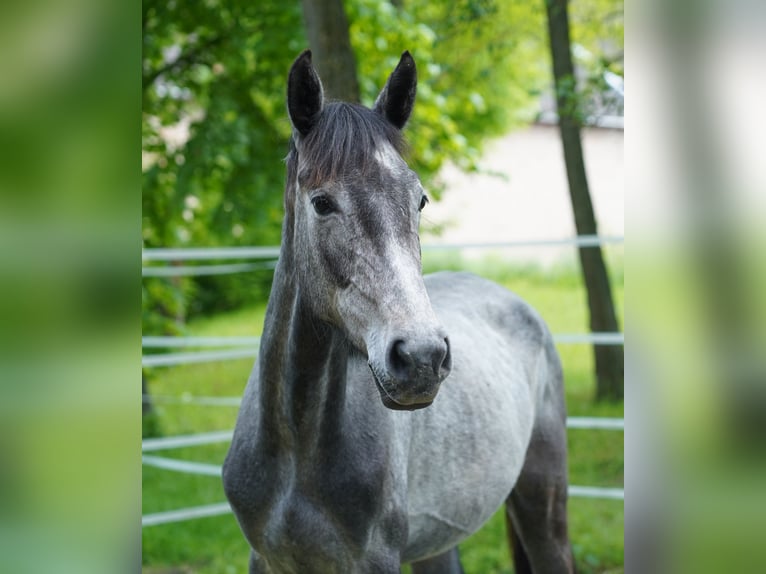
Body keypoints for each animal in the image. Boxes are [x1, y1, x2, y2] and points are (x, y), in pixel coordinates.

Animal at [223, 50, 575, 574]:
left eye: (420, 199)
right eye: (322, 203)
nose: (422, 358)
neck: (295, 447)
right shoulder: (265, 559)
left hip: (543, 505)